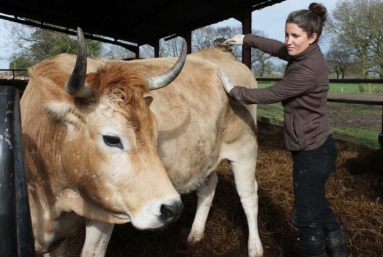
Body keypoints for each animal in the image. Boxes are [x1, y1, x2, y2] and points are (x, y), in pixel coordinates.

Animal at [21, 28, 262, 256]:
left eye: (155, 133)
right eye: (111, 139)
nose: (172, 208)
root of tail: (219, 53)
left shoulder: (105, 212)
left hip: (245, 149)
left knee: (249, 196)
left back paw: (255, 247)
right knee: (208, 186)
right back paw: (195, 234)